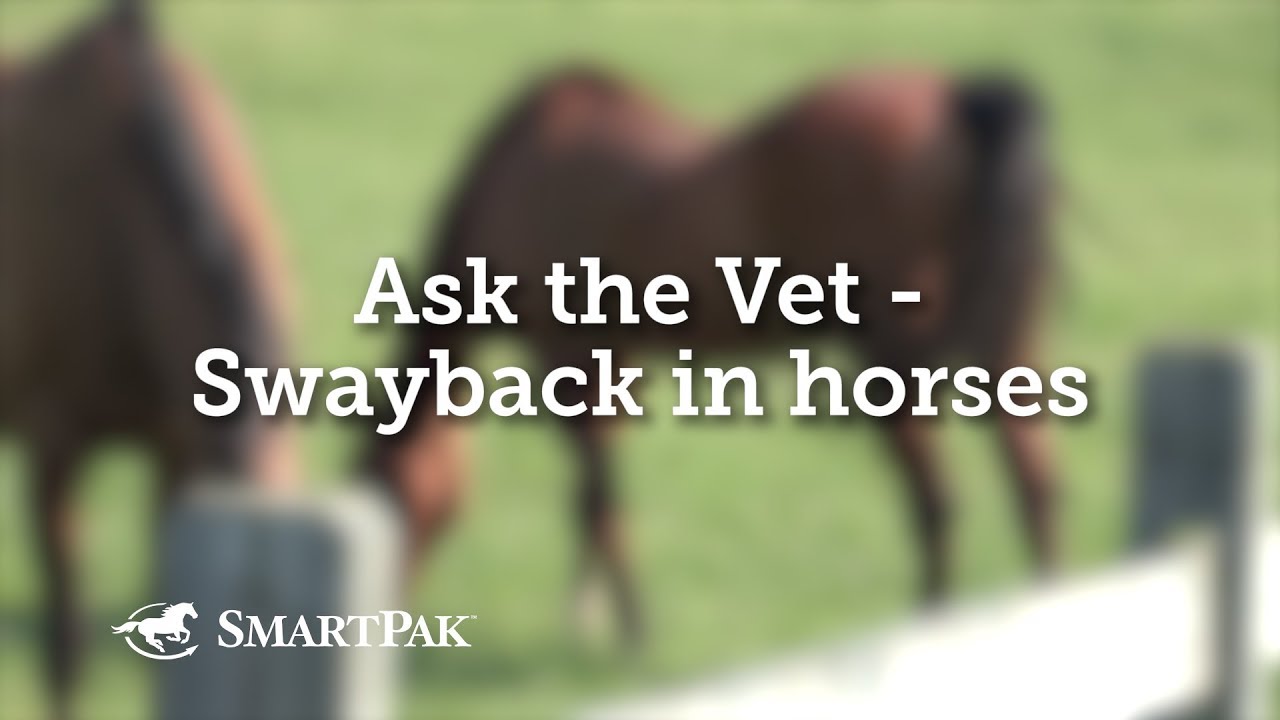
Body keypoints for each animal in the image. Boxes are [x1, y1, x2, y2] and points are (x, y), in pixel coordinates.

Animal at [365, 64, 1058, 645]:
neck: (517, 174)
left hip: (893, 361)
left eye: (395, 496)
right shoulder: (614, 361)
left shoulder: (568, 358)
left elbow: (598, 498)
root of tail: (958, 99)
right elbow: (593, 498)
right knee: (1034, 484)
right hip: (1005, 349)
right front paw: (589, 612)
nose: (392, 619)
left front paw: (630, 627)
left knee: (936, 503)